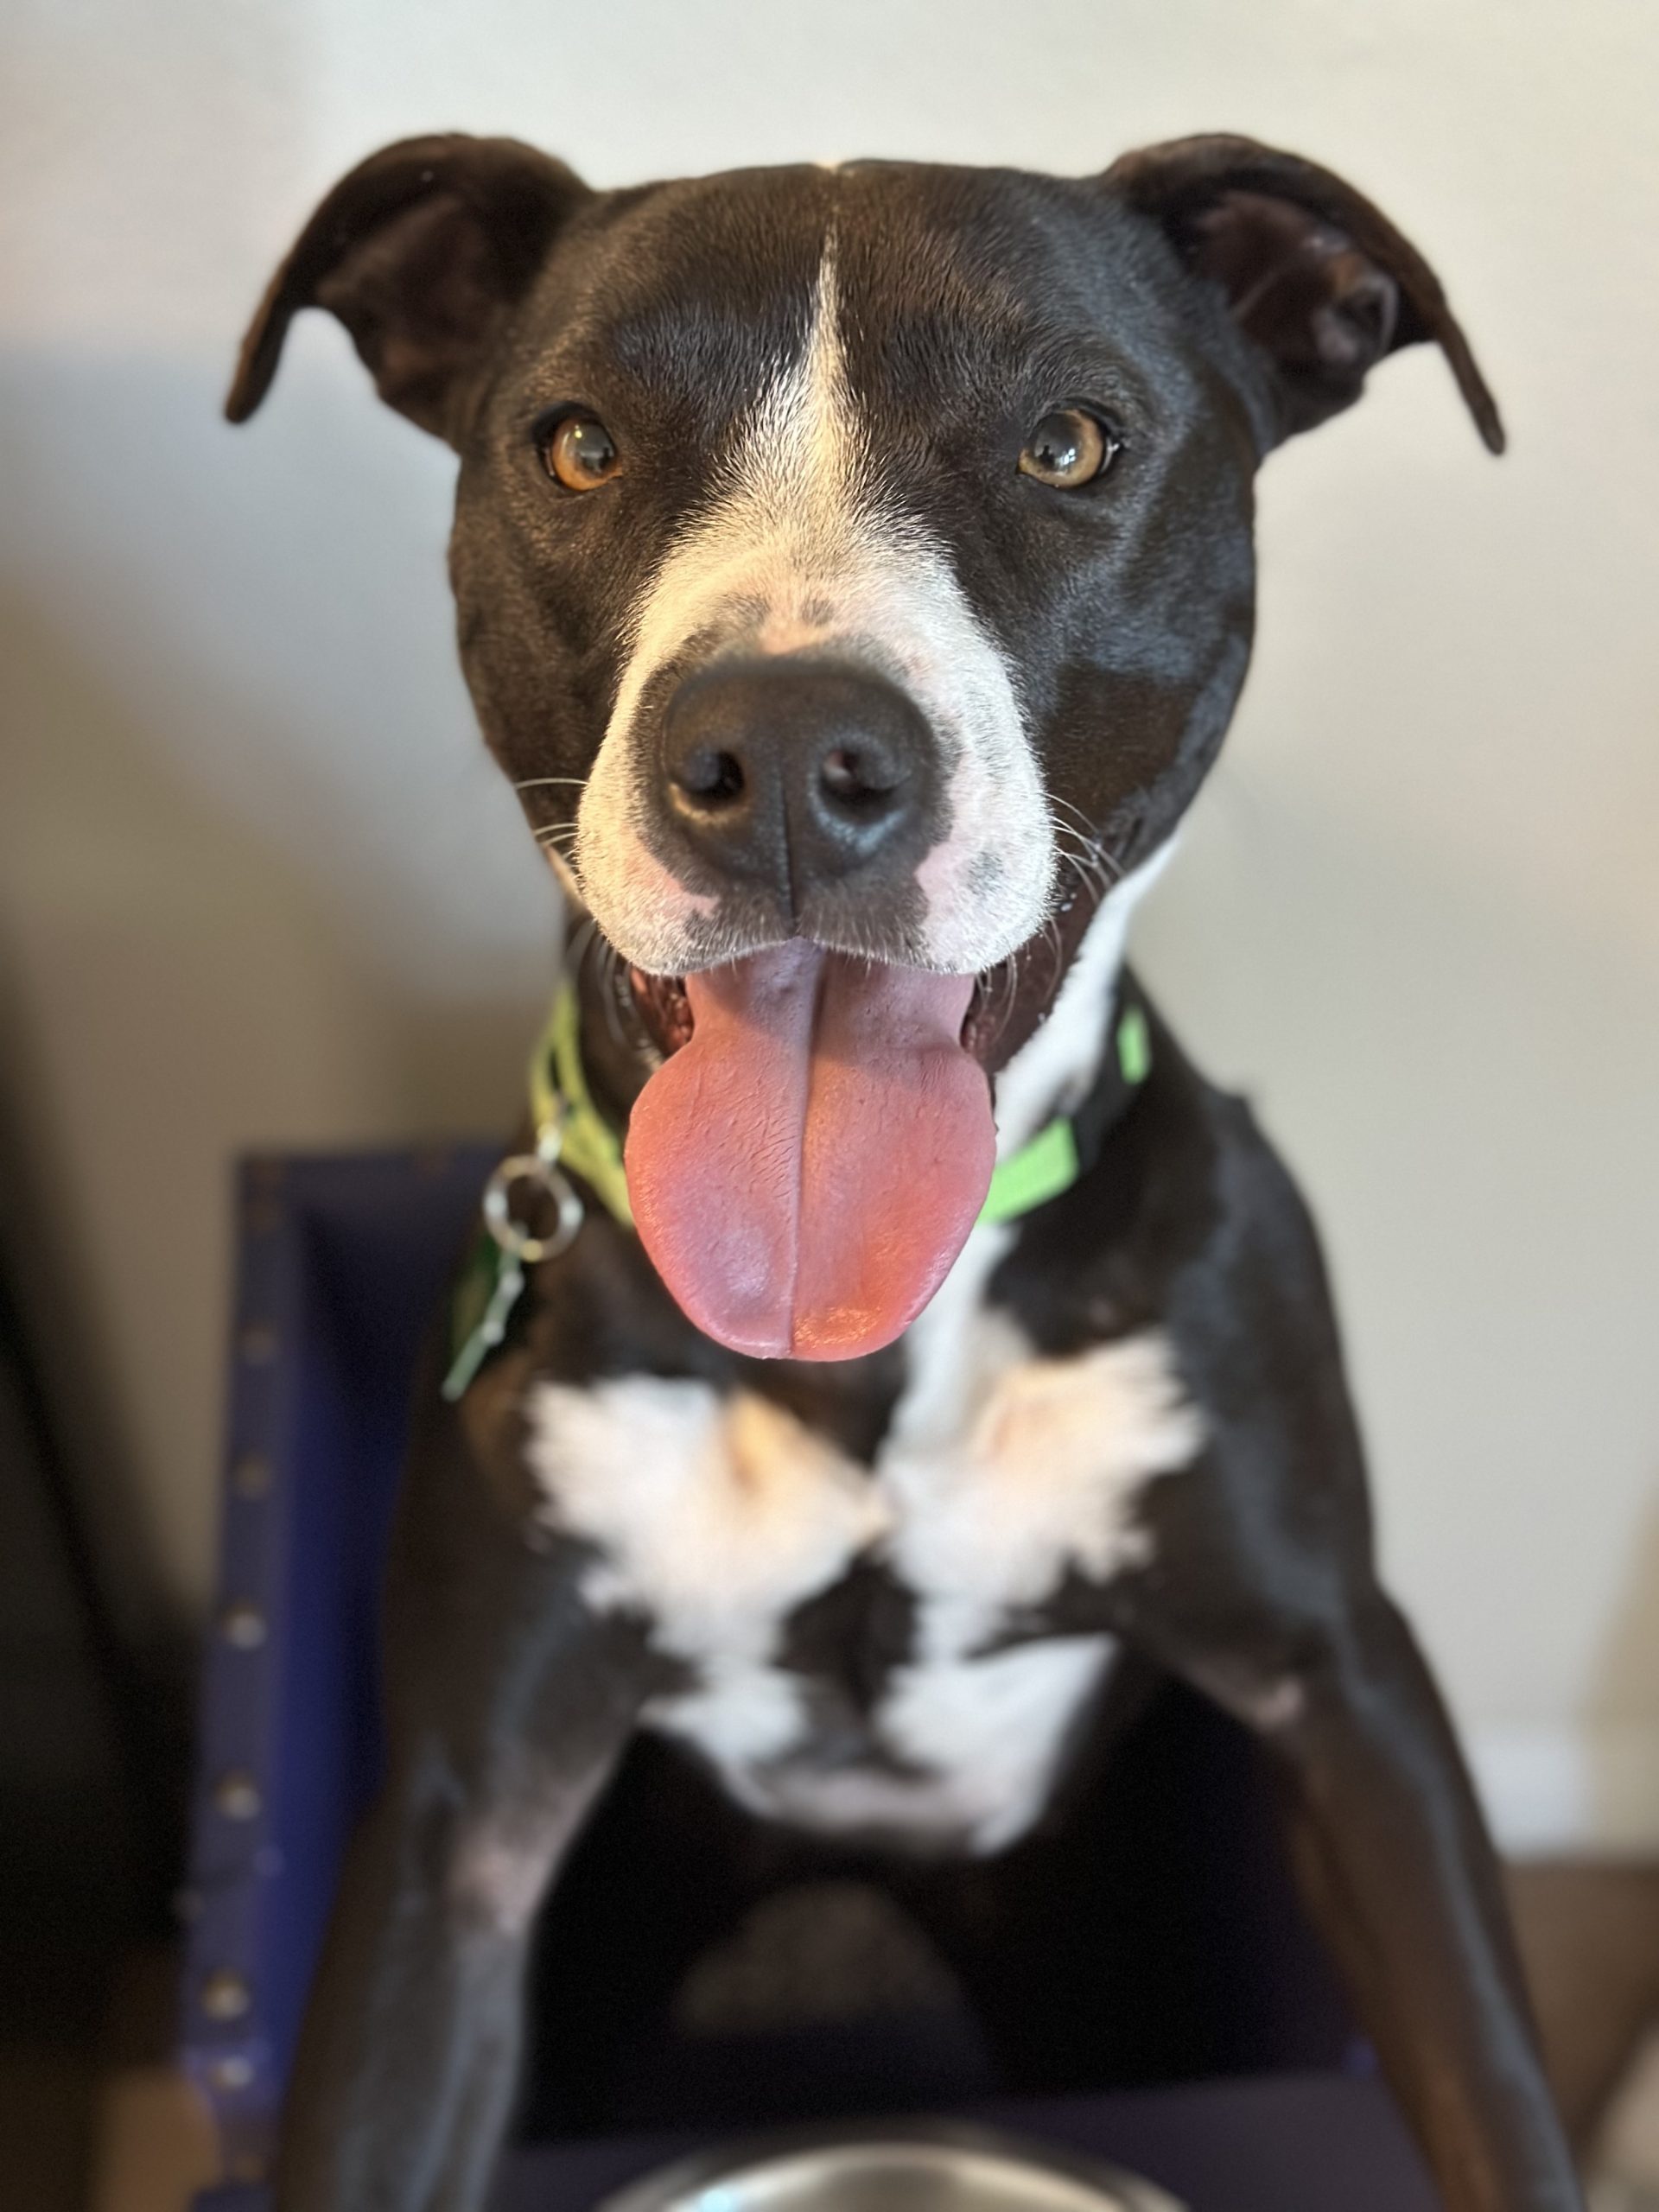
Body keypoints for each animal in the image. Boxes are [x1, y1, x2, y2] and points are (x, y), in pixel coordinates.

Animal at [234, 138, 1583, 2212]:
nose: (788, 752)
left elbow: (1490, 2081)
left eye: (1070, 443)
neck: (869, 1336)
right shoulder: (459, 1839)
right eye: (577, 445)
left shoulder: (1347, 1694)